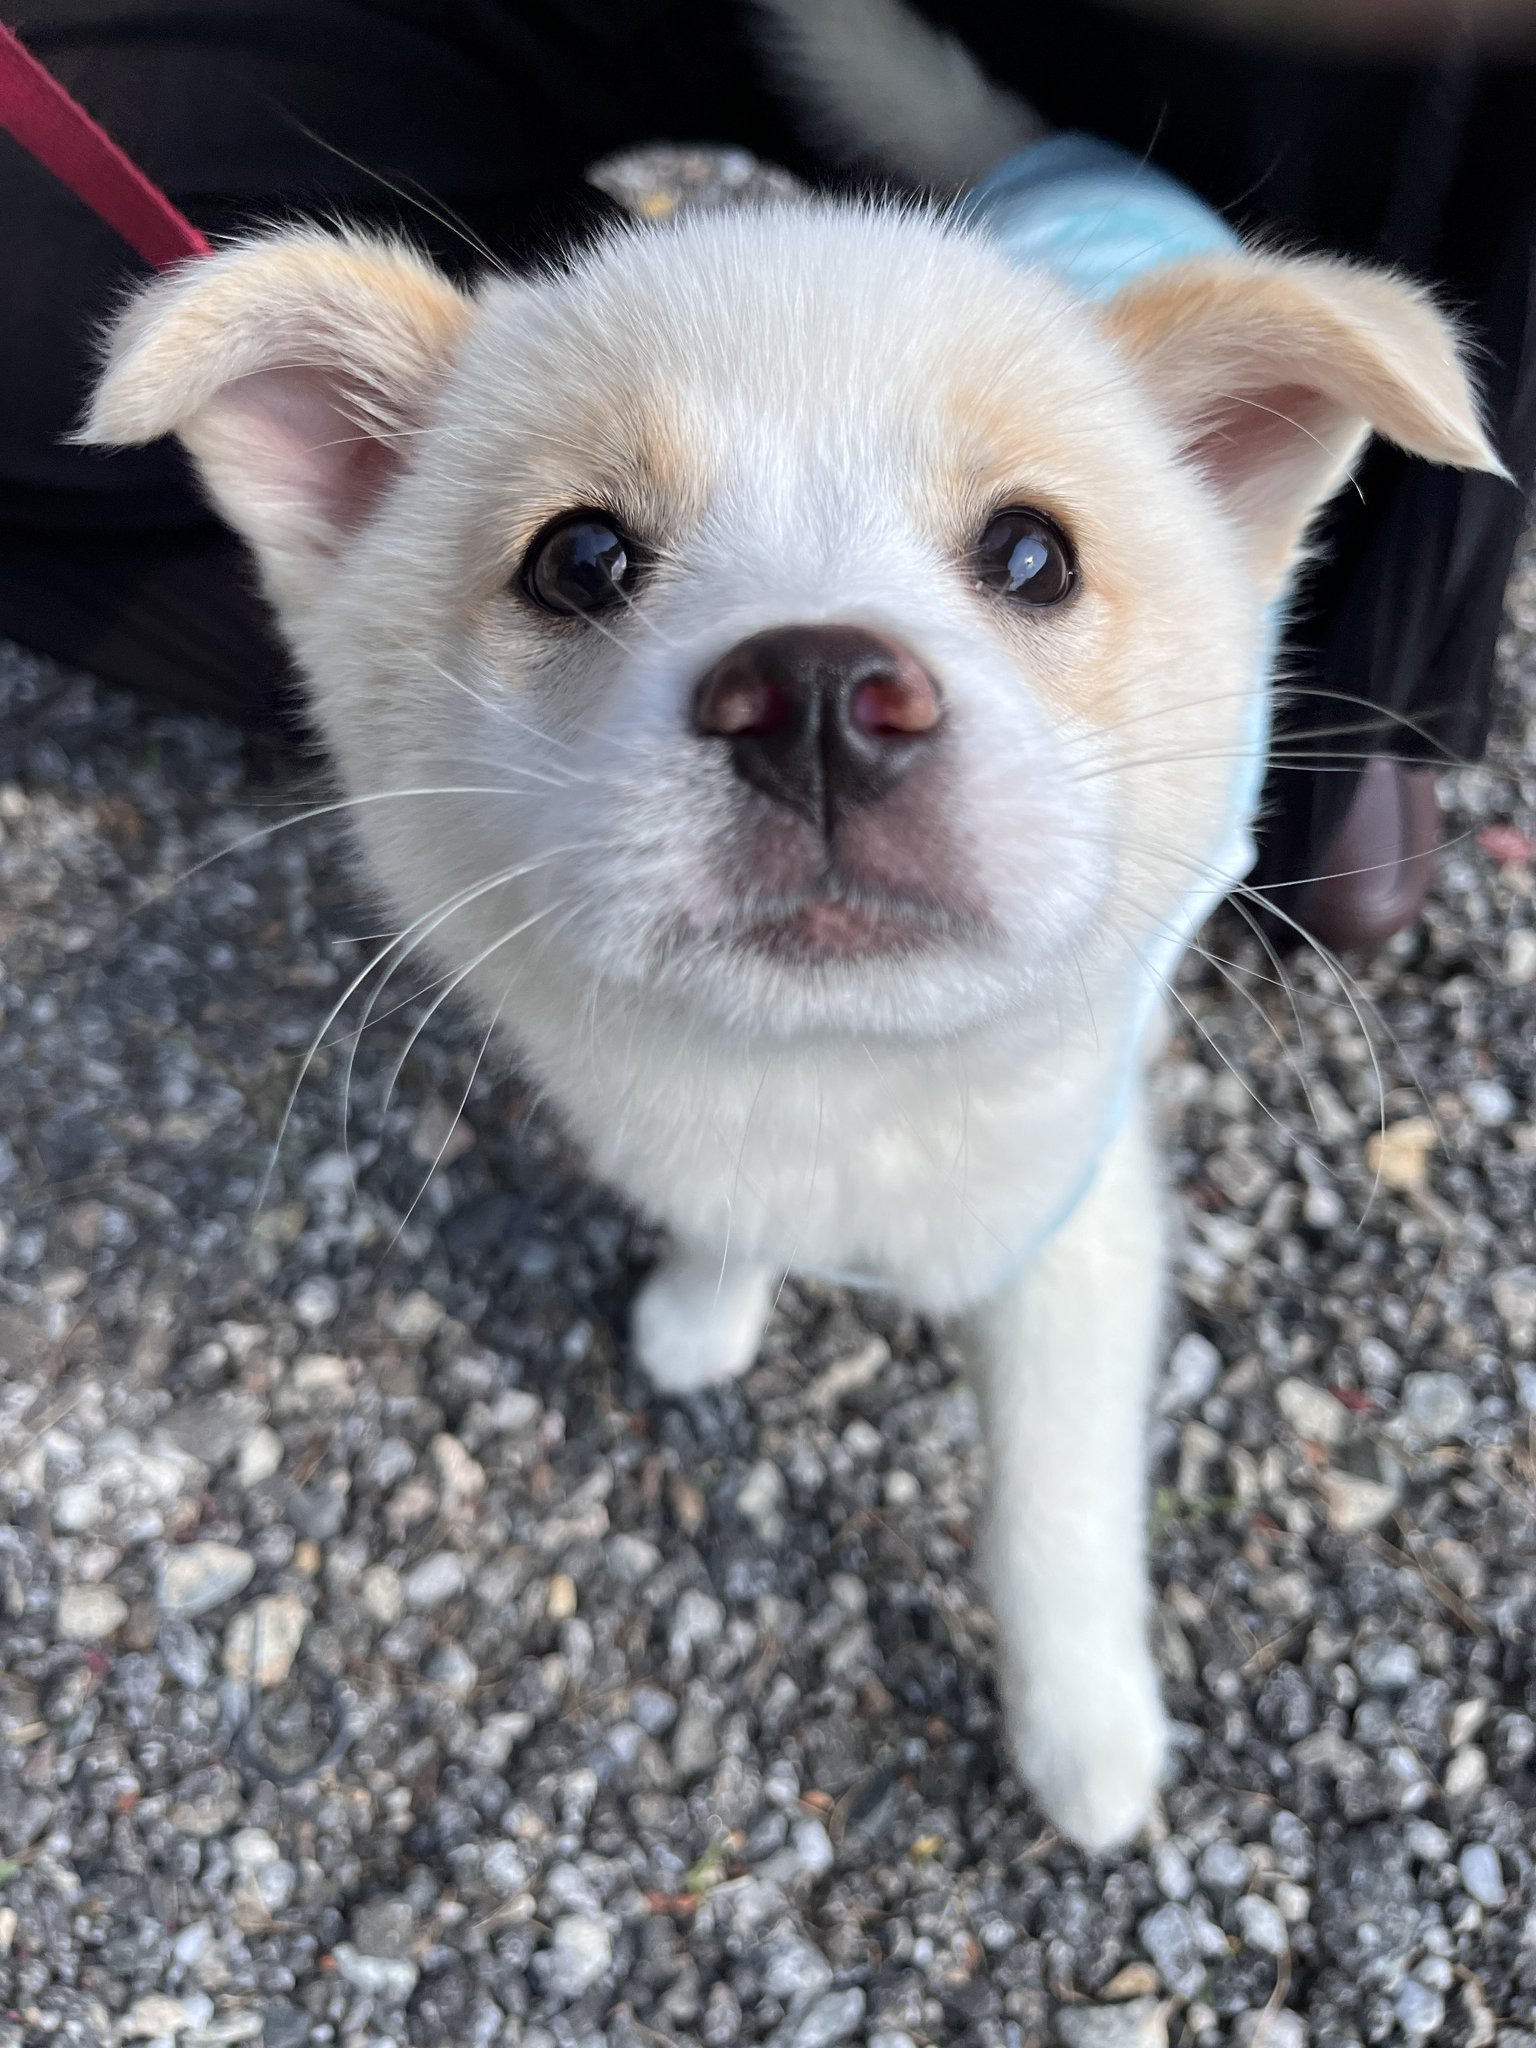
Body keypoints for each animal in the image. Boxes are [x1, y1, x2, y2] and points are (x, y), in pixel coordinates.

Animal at [83, 56, 1507, 1851]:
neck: (831, 1074)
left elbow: (1052, 1507)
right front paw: (707, 1312)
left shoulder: (1080, 1235)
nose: (824, 692)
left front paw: (1086, 1735)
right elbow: (719, 1218)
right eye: (580, 556)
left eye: (1034, 553)